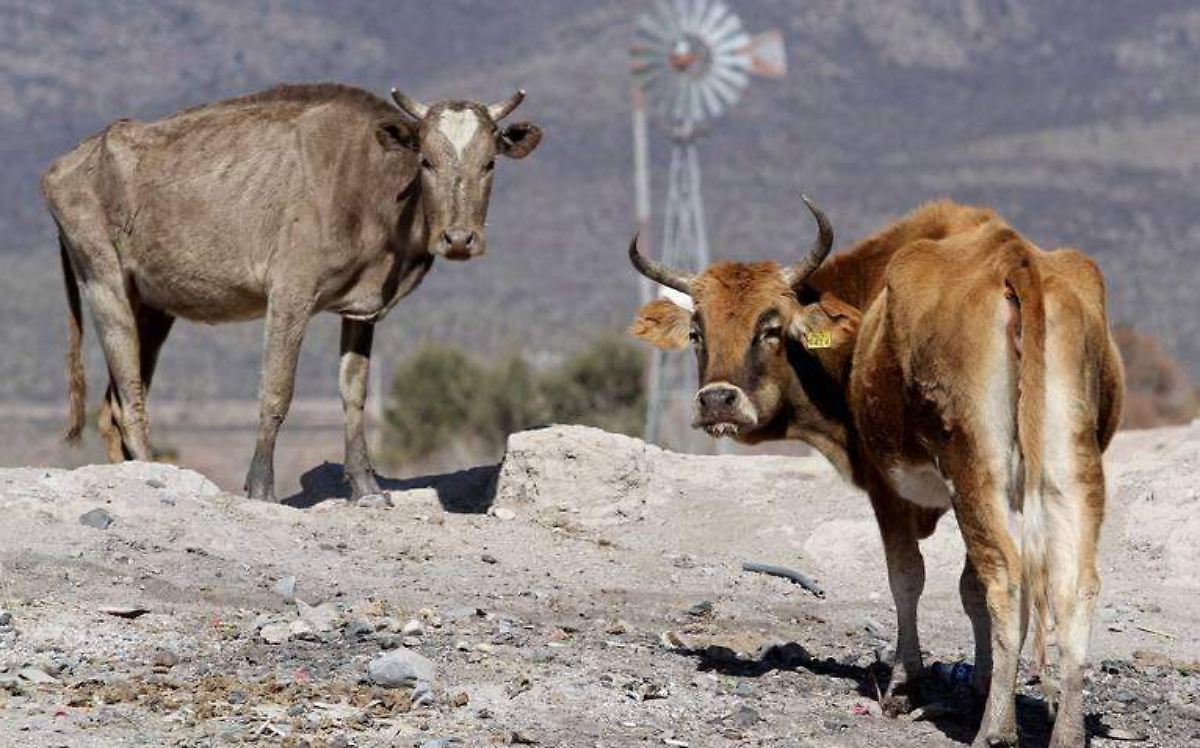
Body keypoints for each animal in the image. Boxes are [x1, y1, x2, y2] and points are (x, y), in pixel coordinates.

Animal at [43, 83, 542, 502]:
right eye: (426, 161)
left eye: (489, 163)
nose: (459, 239)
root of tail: (63, 164)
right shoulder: (289, 292)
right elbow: (276, 391)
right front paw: (261, 487)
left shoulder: (361, 308)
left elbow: (353, 393)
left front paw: (365, 486)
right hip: (103, 280)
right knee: (130, 397)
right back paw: (157, 473)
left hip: (150, 305)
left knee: (111, 406)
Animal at [627, 197, 1124, 747]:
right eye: (697, 332)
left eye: (770, 328)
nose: (718, 400)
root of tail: (1015, 260)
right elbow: (967, 588)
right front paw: (979, 683)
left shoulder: (886, 485)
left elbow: (907, 577)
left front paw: (907, 684)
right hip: (1070, 472)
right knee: (1073, 586)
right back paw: (1067, 732)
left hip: (976, 470)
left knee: (1007, 581)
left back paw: (995, 729)